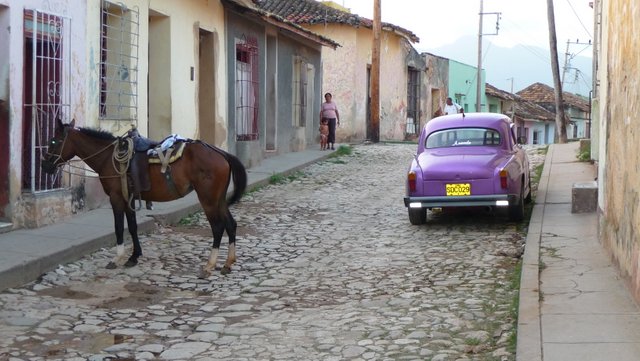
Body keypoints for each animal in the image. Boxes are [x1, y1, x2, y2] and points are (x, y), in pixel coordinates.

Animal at [42, 118, 248, 276]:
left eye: (53, 141)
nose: (45, 165)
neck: (109, 157)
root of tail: (221, 153)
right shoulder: (129, 198)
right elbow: (132, 227)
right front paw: (134, 257)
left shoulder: (116, 198)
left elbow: (119, 228)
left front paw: (117, 258)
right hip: (219, 199)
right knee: (231, 224)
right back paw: (228, 263)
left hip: (208, 199)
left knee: (218, 227)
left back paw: (210, 265)